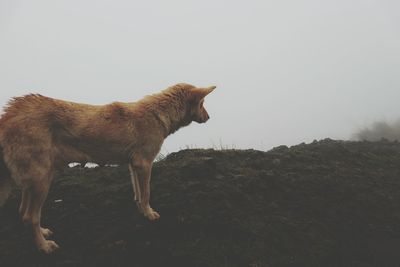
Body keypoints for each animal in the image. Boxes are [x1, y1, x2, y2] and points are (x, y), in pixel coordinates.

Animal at [0, 83, 216, 253]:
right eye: (203, 104)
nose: (209, 117)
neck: (158, 114)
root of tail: (8, 116)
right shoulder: (144, 164)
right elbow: (146, 194)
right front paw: (150, 215)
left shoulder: (134, 165)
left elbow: (138, 195)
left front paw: (142, 212)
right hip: (42, 180)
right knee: (30, 216)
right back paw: (44, 246)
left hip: (37, 179)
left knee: (23, 212)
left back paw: (43, 233)